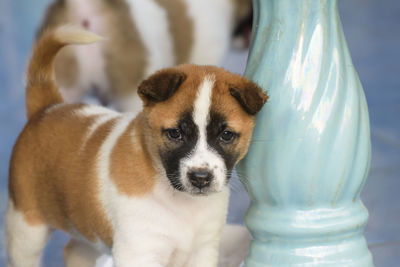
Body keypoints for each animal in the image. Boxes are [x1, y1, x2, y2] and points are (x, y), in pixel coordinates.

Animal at [6, 26, 268, 267]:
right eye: (175, 133)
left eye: (226, 135)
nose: (200, 178)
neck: (180, 201)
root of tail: (48, 107)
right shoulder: (139, 252)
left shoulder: (203, 251)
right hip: (26, 228)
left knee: (74, 251)